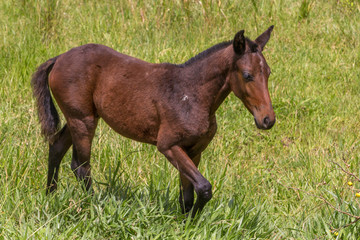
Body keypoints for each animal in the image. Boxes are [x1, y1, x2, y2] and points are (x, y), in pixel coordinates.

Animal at [31, 25, 276, 217]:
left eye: (268, 72)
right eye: (247, 75)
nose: (268, 120)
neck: (191, 93)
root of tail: (59, 58)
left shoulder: (194, 150)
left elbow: (188, 194)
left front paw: (185, 224)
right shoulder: (168, 145)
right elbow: (204, 187)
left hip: (79, 119)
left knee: (56, 148)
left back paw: (50, 197)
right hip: (83, 120)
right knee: (80, 166)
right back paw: (93, 207)